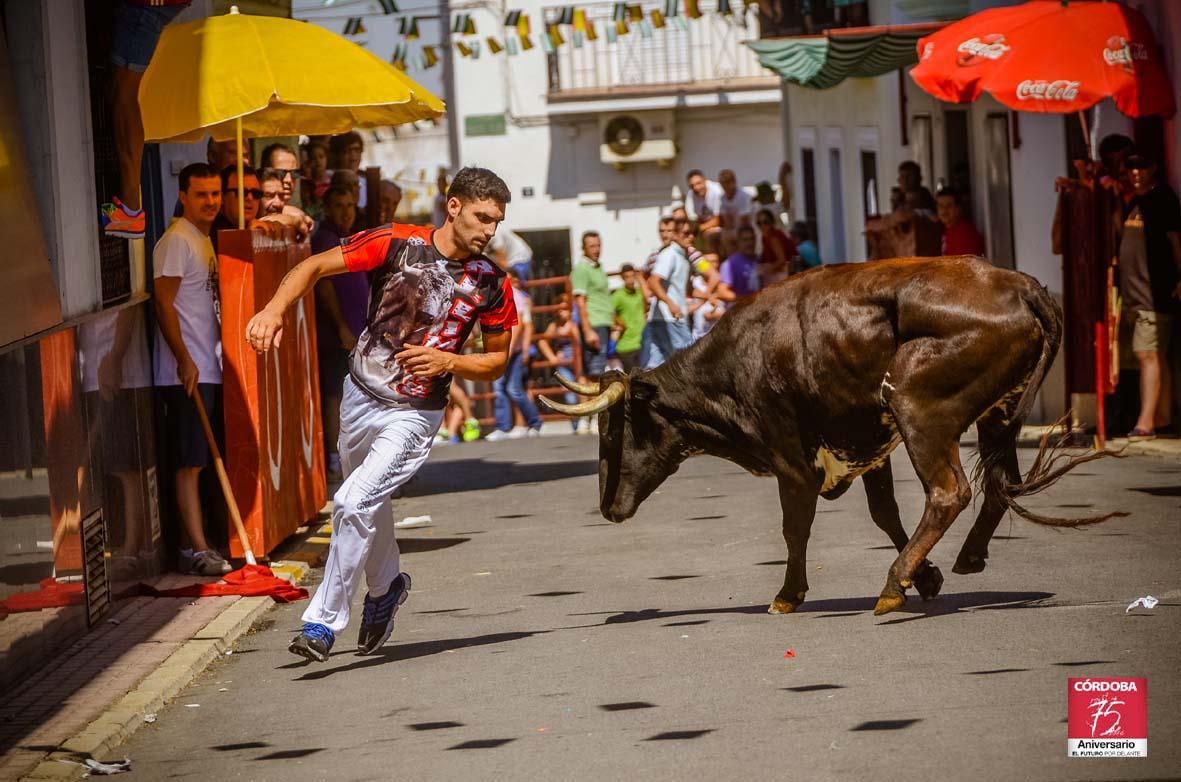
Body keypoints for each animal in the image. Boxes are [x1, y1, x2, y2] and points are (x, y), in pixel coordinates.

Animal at [540, 257, 1119, 618]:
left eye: (615, 428)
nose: (608, 507)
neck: (735, 365)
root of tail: (1017, 285)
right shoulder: (867, 447)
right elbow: (884, 514)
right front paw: (927, 577)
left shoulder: (793, 463)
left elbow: (794, 529)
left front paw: (787, 595)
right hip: (997, 414)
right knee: (999, 484)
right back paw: (964, 559)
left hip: (917, 406)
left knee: (949, 491)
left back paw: (890, 586)